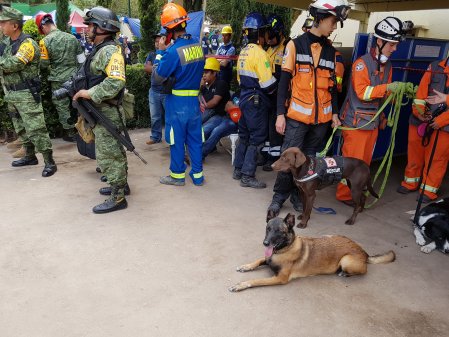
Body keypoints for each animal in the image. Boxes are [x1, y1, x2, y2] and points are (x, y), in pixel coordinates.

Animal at [229, 214, 394, 290]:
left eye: (280, 232)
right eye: (268, 229)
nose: (265, 243)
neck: (285, 249)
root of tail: (363, 252)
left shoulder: (280, 278)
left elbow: (256, 280)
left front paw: (240, 285)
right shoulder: (267, 258)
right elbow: (258, 260)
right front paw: (245, 266)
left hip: (346, 260)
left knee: (363, 271)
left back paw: (344, 273)